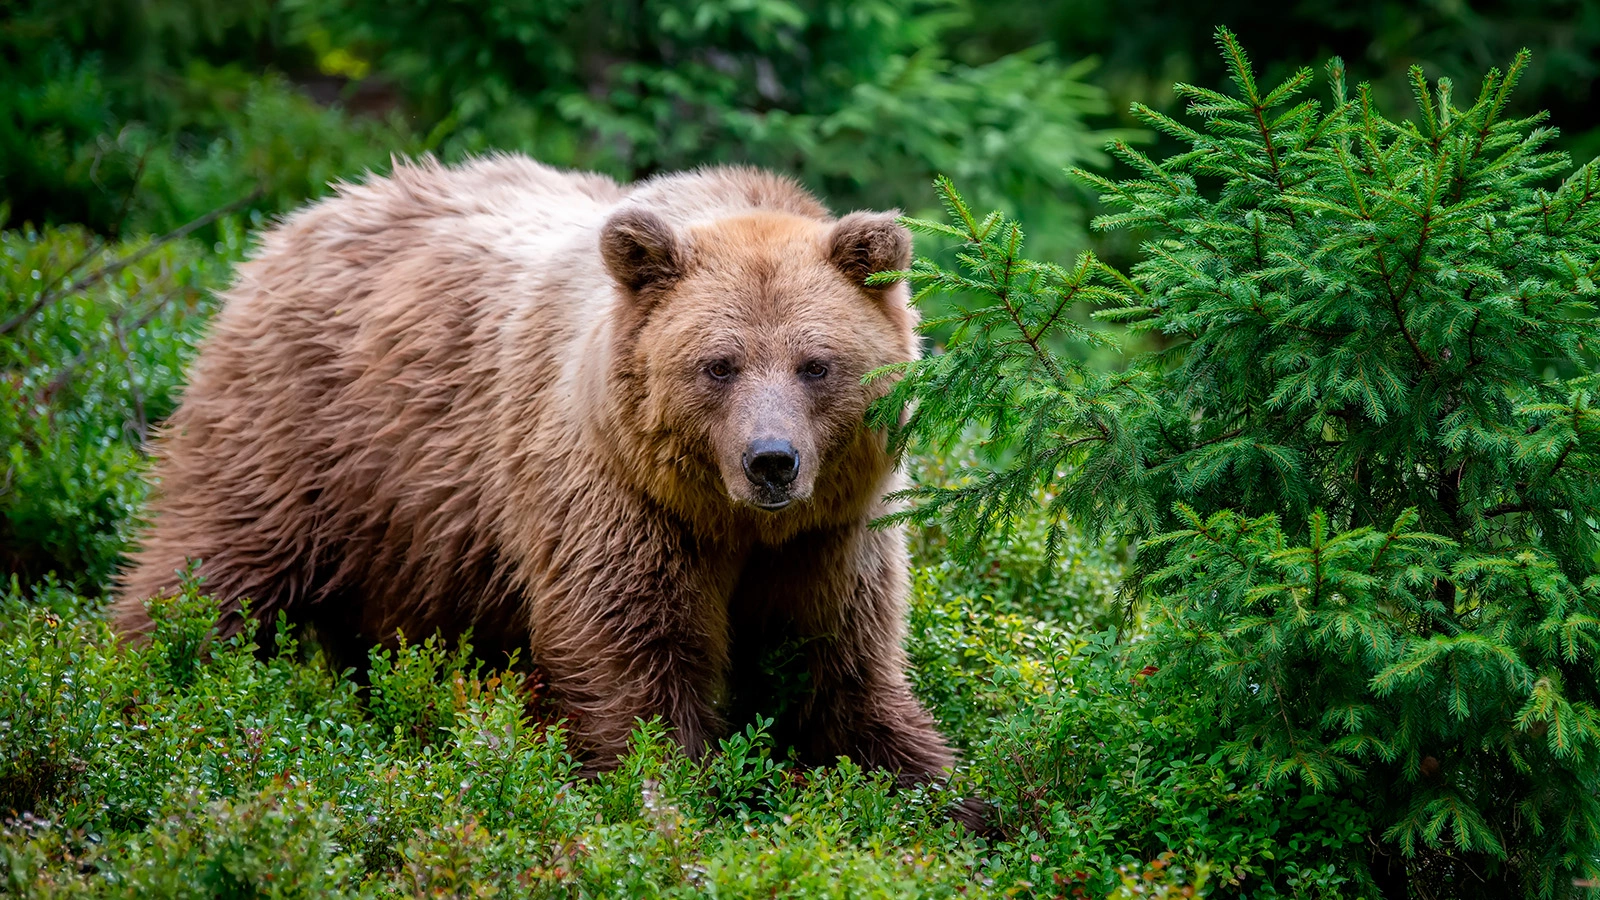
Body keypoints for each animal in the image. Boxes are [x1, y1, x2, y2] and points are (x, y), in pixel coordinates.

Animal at [116, 150, 960, 787]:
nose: (772, 462)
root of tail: (302, 217)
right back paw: (148, 678)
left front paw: (938, 790)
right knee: (214, 563)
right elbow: (632, 656)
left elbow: (841, 668)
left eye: (817, 364)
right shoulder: (614, 497)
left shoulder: (834, 534)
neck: (730, 522)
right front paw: (665, 791)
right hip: (304, 434)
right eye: (718, 365)